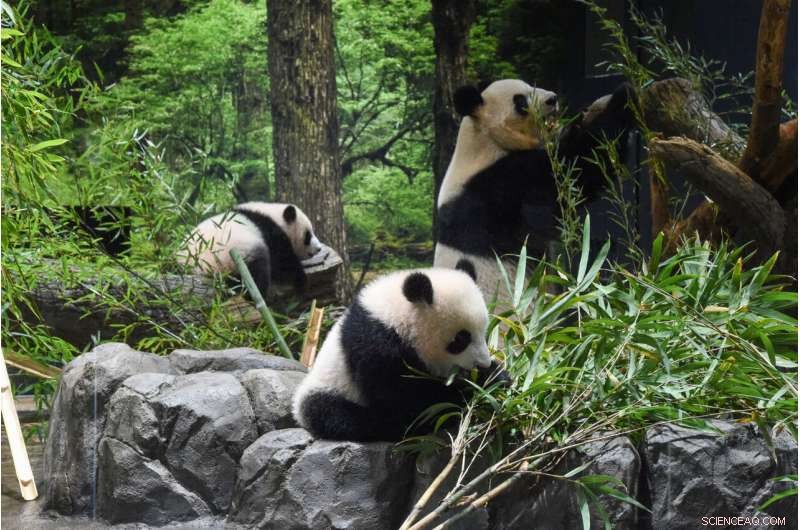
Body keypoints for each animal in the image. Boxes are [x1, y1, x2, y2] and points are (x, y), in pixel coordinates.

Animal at [178, 202, 322, 299]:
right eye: (308, 235)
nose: (319, 248)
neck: (272, 215)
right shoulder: (269, 232)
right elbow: (282, 260)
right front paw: (301, 280)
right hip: (236, 255)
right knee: (257, 272)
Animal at [292, 260, 509, 442]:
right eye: (461, 339)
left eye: (484, 332)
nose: (482, 364)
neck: (395, 316)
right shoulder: (376, 347)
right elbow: (407, 400)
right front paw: (465, 392)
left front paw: (494, 376)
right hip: (328, 390)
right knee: (337, 414)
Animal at [434, 79, 635, 304]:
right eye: (520, 101)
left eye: (531, 86)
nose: (552, 99)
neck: (484, 141)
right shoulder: (496, 189)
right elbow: (573, 173)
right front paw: (623, 98)